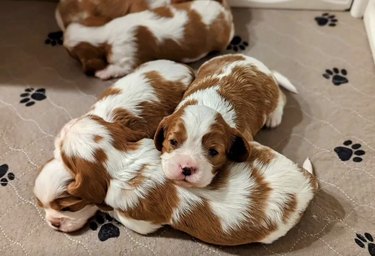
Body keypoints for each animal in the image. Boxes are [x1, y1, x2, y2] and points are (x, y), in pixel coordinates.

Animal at [64, 0, 235, 79]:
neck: (105, 32)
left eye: (70, 53)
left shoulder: (125, 58)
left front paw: (102, 73)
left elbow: (116, 68)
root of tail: (224, 13)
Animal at [153, 53, 300, 187]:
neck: (209, 104)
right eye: (173, 142)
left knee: (281, 97)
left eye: (213, 152)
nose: (186, 168)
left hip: (272, 93)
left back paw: (274, 117)